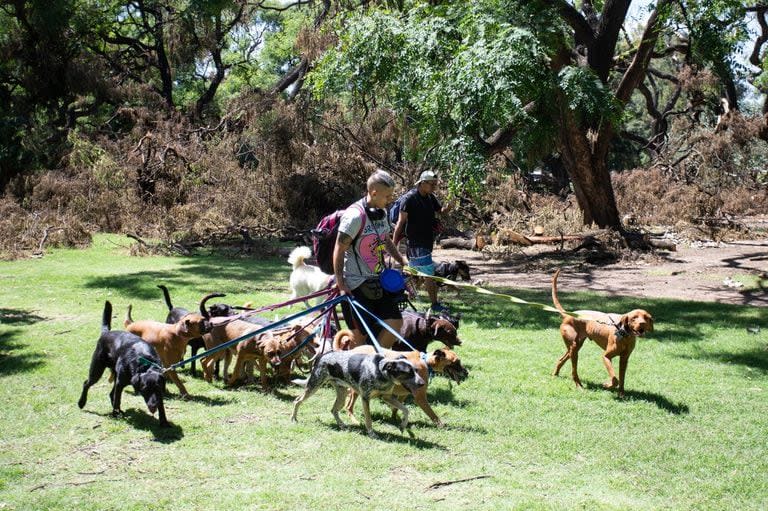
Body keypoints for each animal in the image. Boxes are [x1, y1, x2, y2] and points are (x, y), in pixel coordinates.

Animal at [292, 352, 426, 440]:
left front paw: (403, 426)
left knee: (333, 410)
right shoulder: (365, 398)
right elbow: (369, 419)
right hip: (313, 387)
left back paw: (342, 425)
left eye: (416, 370)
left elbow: (406, 410)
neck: (380, 372)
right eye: (408, 373)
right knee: (297, 400)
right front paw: (371, 434)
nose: (422, 383)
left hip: (342, 394)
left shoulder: (387, 397)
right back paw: (293, 419)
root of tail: (322, 356)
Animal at [552, 270, 656, 398]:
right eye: (634, 318)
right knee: (573, 371)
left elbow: (622, 379)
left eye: (646, 317)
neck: (625, 336)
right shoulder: (606, 356)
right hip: (574, 347)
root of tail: (568, 315)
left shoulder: (624, 359)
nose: (642, 323)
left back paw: (555, 374)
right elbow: (615, 379)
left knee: (562, 359)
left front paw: (621, 394)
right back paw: (579, 386)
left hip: (575, 347)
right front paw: (607, 385)